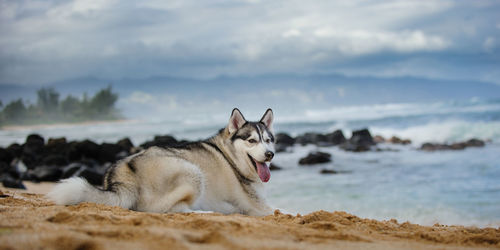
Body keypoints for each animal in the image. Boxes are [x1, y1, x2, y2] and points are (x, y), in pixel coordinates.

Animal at [48, 108, 276, 216]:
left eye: (268, 140)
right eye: (251, 141)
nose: (269, 155)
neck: (231, 157)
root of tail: (121, 172)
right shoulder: (258, 207)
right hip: (191, 170)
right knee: (172, 210)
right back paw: (209, 212)